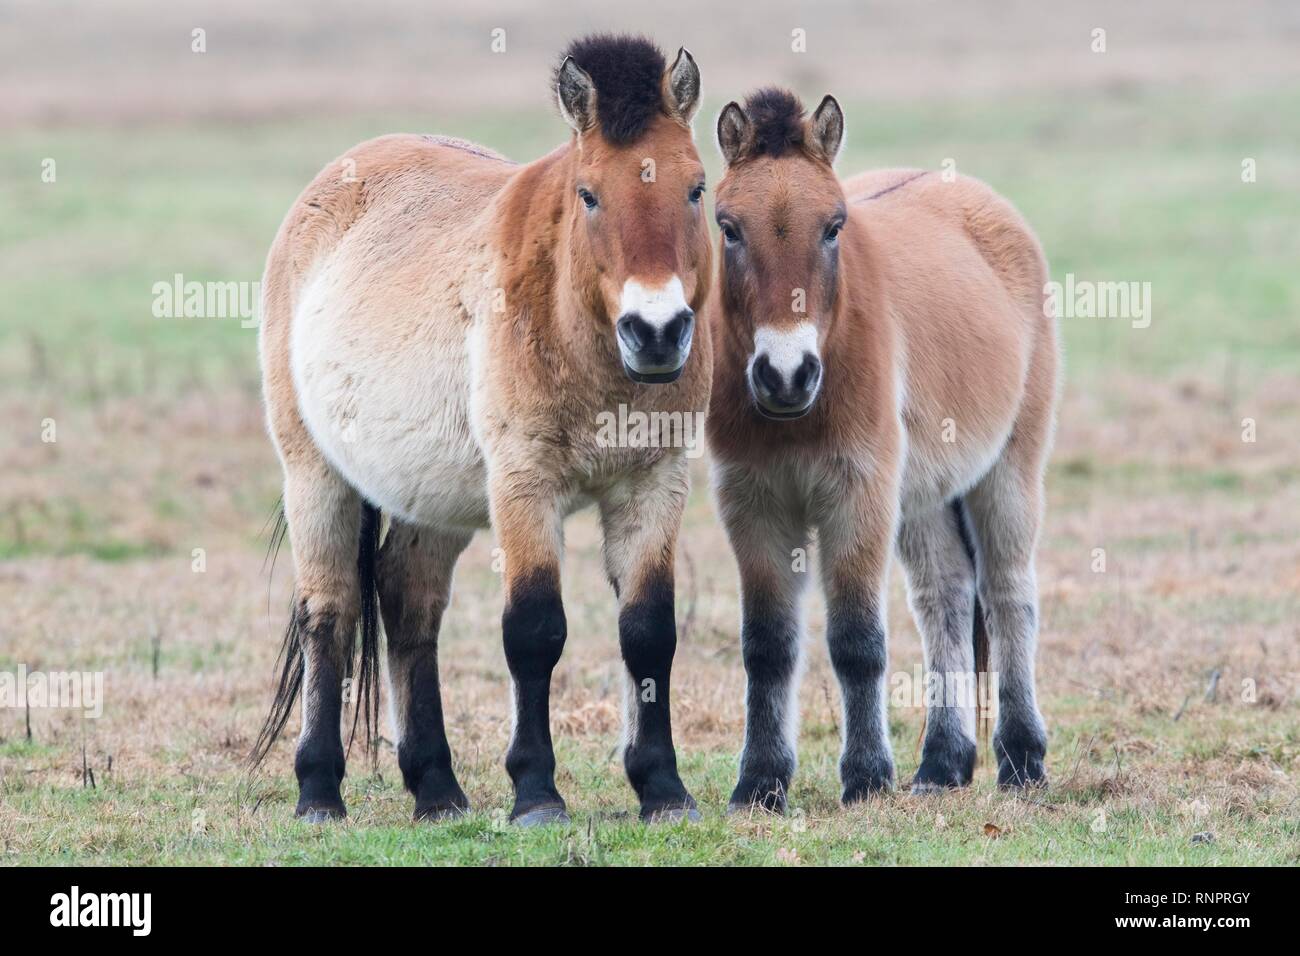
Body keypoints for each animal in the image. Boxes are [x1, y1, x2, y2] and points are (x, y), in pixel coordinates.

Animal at [250, 35, 712, 832]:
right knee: (328, 612)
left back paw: (436, 789)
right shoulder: (524, 482)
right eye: (589, 194)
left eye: (696, 188)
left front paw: (662, 789)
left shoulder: (654, 481)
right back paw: (318, 792)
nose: (655, 332)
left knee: (408, 601)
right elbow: (534, 631)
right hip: (315, 476)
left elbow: (649, 631)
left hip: (428, 499)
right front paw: (536, 793)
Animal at [712, 89, 1055, 811]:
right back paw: (942, 763)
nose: (786, 375)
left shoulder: (859, 496)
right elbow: (767, 645)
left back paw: (1021, 758)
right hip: (924, 498)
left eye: (833, 225)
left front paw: (867, 777)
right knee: (945, 596)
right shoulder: (753, 505)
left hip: (1006, 474)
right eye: (728, 227)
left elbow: (856, 641)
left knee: (1008, 595)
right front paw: (759, 782)